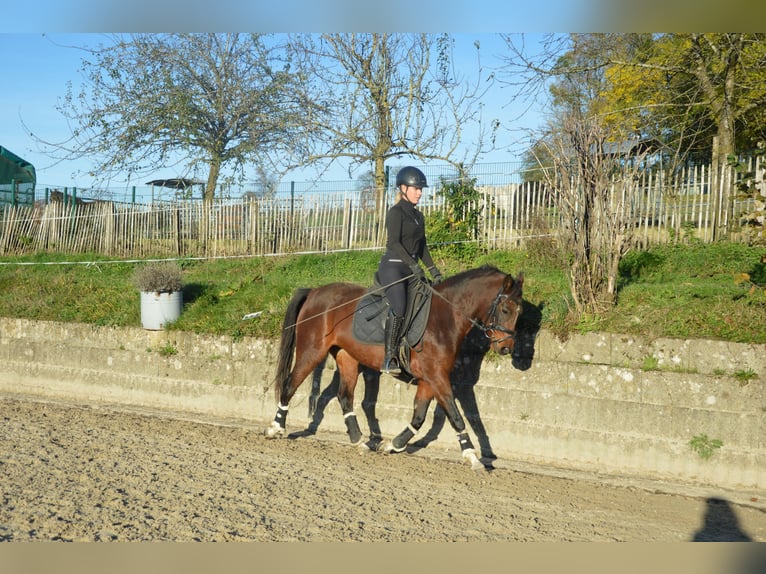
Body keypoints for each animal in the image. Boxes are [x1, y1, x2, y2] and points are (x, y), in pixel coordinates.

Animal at [268, 268, 524, 470]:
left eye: (519, 312)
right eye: (505, 309)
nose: (506, 348)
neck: (446, 317)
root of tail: (315, 291)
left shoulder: (430, 378)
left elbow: (419, 415)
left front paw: (394, 444)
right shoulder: (437, 376)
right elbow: (455, 414)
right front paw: (472, 456)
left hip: (346, 356)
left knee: (344, 396)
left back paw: (359, 441)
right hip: (311, 351)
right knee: (290, 384)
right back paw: (276, 428)